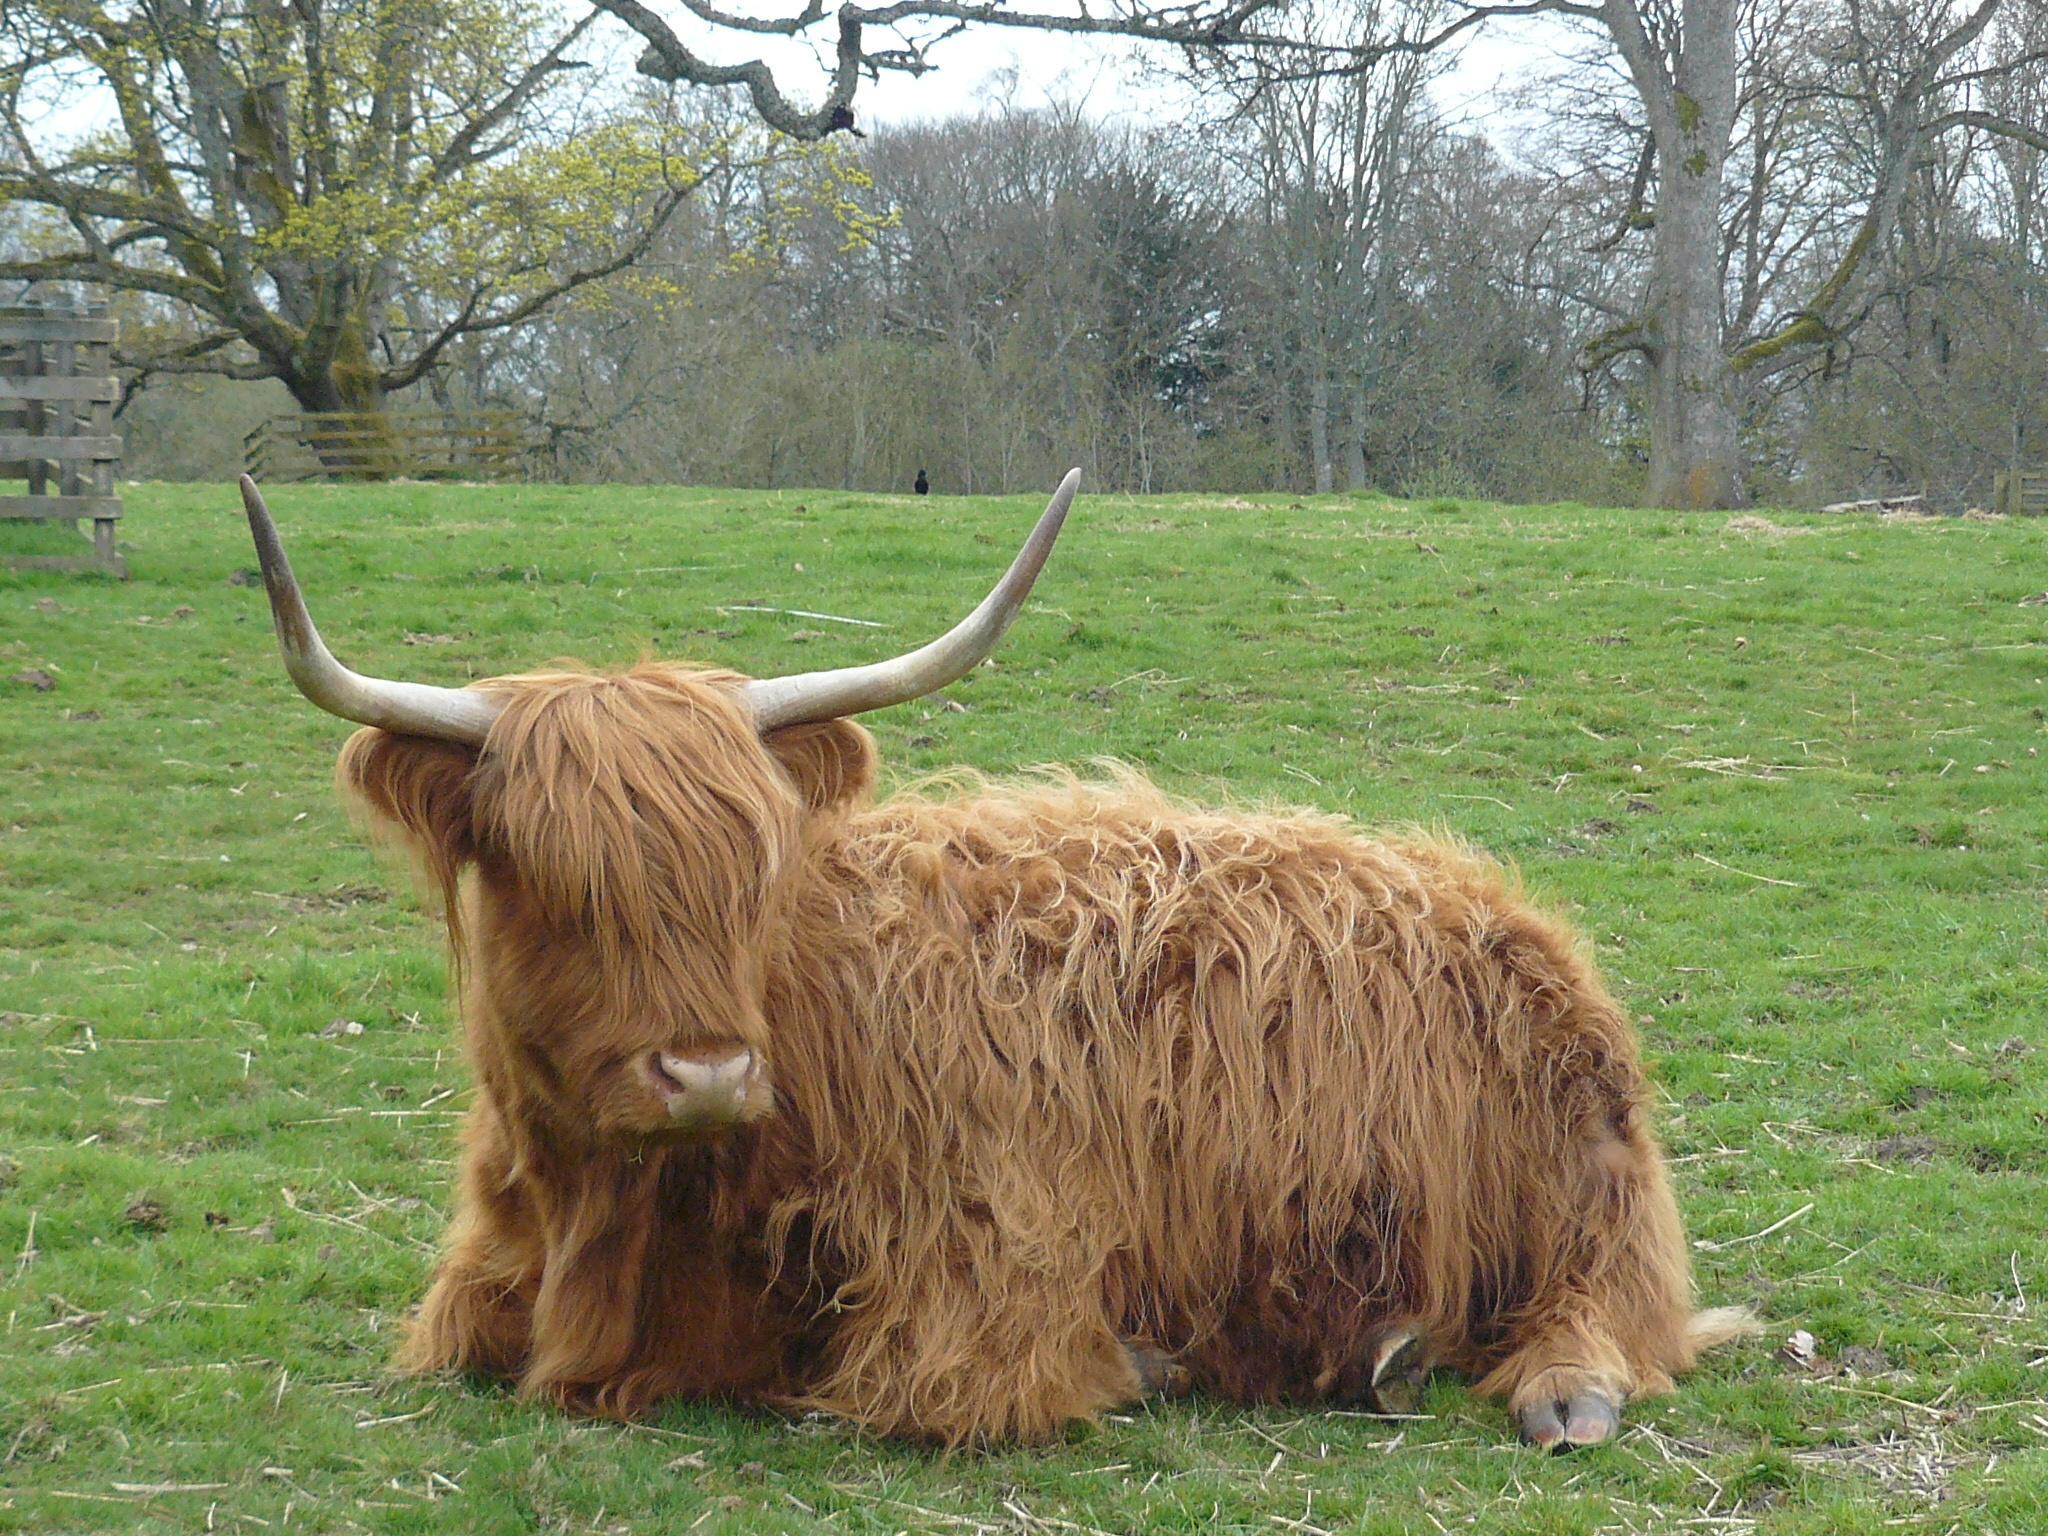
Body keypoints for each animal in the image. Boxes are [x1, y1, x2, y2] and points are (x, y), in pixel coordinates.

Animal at [235, 475, 1744, 1449]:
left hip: (1578, 1190)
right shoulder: (479, 1303)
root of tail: (1512, 915)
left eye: (752, 878)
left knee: (1612, 1305)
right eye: (544, 875)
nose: (708, 1073)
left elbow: (917, 1386)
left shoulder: (990, 1275)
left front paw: (1147, 1360)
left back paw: (1544, 1385)